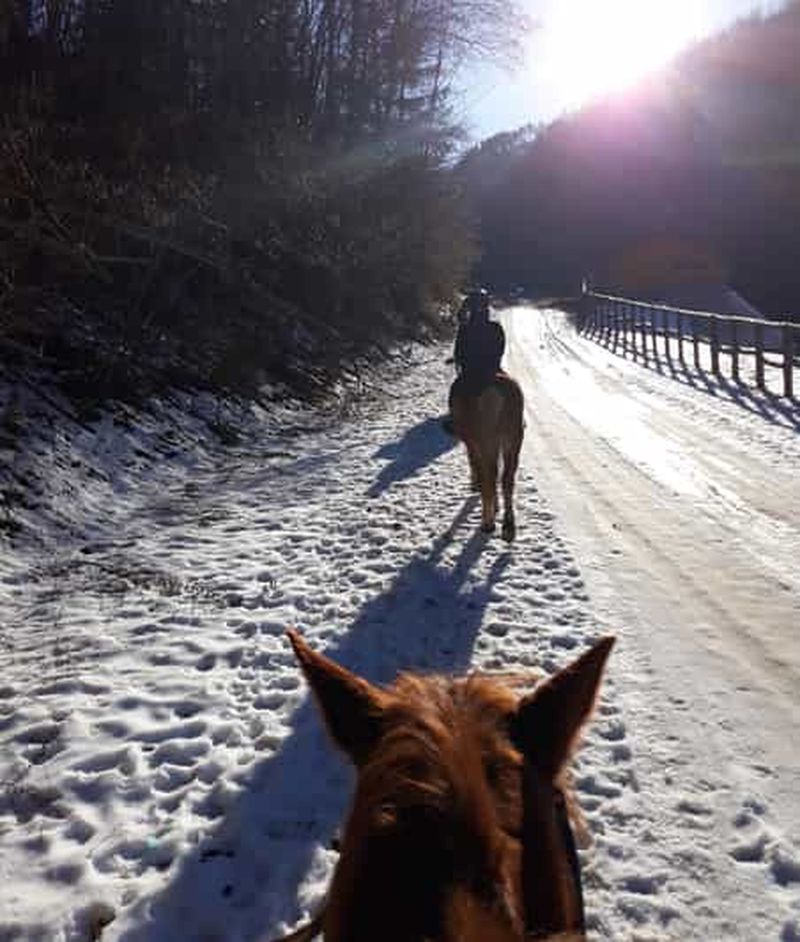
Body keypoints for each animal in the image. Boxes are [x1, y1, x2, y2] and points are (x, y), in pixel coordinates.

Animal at [449, 372, 524, 542]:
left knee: (489, 477)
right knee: (507, 478)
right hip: (513, 437)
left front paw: (474, 485)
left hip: (485, 439)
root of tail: (493, 394)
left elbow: (474, 464)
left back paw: (487, 524)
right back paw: (508, 528)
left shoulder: (471, 442)